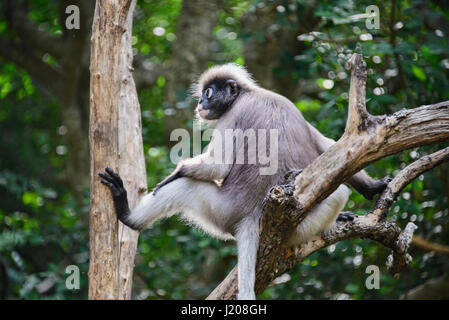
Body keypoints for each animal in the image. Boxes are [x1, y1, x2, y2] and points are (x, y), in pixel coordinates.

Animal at [99, 63, 388, 300]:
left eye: (209, 93)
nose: (200, 103)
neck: (248, 94)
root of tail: (252, 215)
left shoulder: (231, 116)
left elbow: (218, 165)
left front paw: (174, 173)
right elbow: (330, 146)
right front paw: (373, 187)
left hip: (221, 211)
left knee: (185, 187)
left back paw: (127, 214)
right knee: (338, 193)